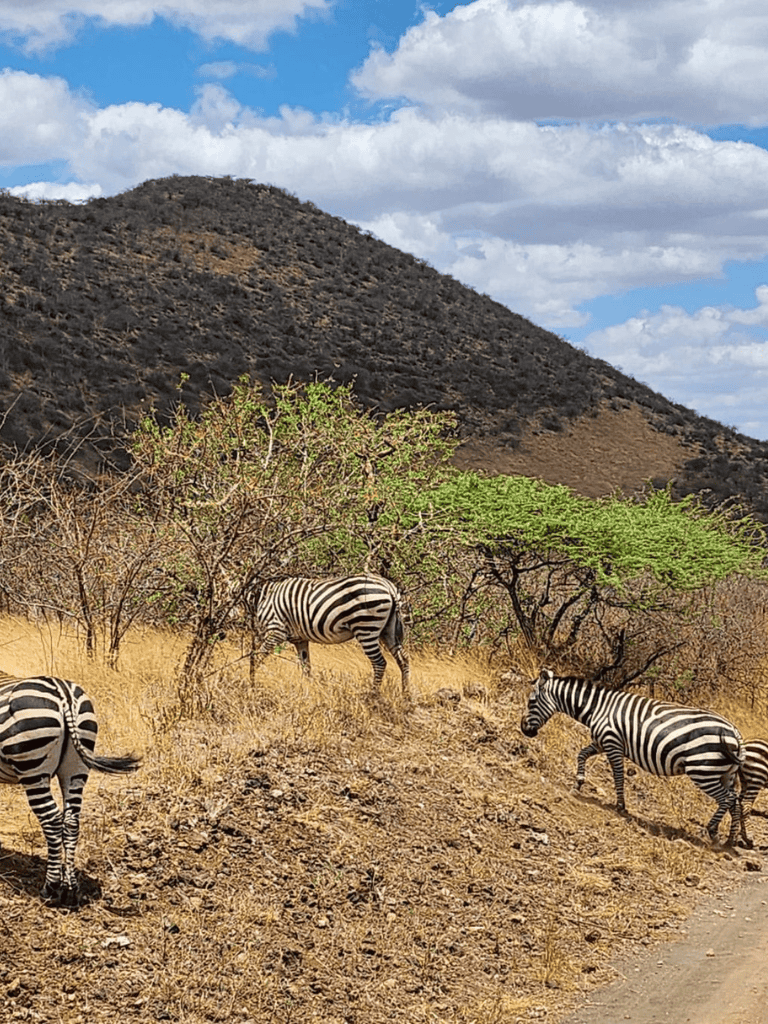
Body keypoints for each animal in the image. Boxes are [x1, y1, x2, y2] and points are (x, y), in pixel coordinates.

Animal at [0, 673, 140, 906]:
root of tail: (62, 692)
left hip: (33, 769)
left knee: (52, 821)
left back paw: (50, 888)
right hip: (76, 768)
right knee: (71, 822)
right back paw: (71, 889)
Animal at [246, 574, 411, 699]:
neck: (261, 597)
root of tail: (389, 586)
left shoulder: (276, 631)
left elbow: (257, 656)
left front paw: (251, 683)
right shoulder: (300, 639)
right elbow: (306, 666)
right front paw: (310, 691)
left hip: (366, 627)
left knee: (379, 663)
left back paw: (372, 696)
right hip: (388, 631)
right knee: (403, 659)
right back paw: (406, 695)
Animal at [520, 669, 745, 844]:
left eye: (531, 702)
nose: (524, 729)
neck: (597, 708)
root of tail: (735, 732)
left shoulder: (612, 743)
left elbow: (618, 776)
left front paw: (621, 806)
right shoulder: (601, 742)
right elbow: (581, 754)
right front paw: (578, 783)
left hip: (702, 770)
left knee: (727, 798)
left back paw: (711, 830)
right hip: (725, 773)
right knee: (735, 801)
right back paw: (729, 839)